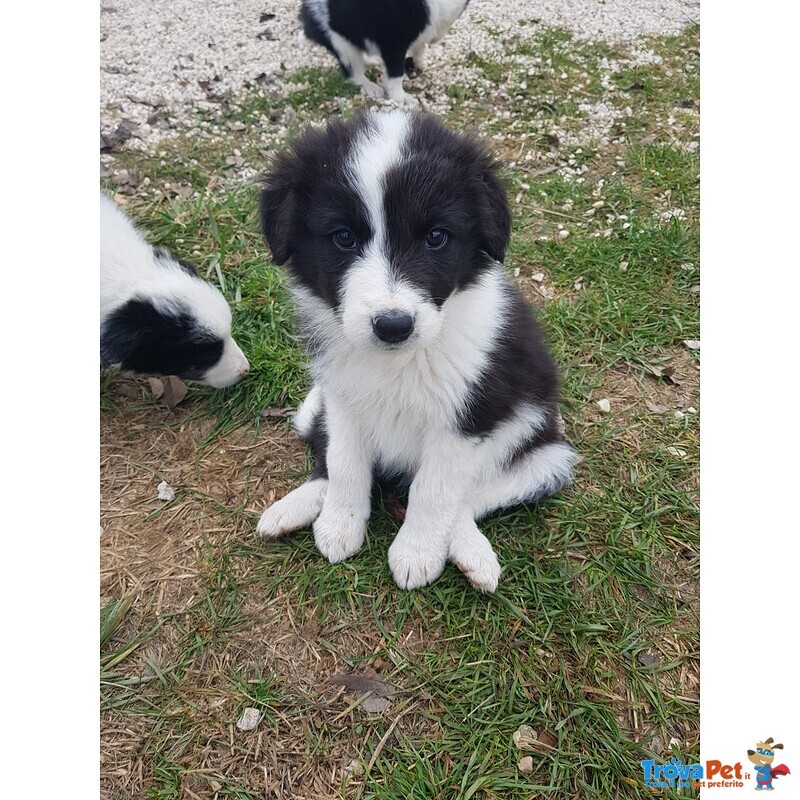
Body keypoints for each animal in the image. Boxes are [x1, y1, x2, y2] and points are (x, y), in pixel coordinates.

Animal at [255, 109, 576, 592]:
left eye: (437, 237)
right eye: (343, 237)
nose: (393, 326)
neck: (398, 361)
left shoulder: (467, 416)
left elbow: (436, 487)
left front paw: (417, 552)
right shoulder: (343, 399)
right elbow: (345, 462)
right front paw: (340, 523)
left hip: (546, 455)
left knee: (468, 497)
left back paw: (472, 553)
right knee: (325, 460)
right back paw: (294, 507)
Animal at [304, 0, 472, 104]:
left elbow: (421, 45)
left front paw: (419, 64)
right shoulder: (392, 42)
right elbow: (396, 74)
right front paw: (401, 98)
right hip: (341, 43)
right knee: (353, 73)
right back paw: (371, 88)